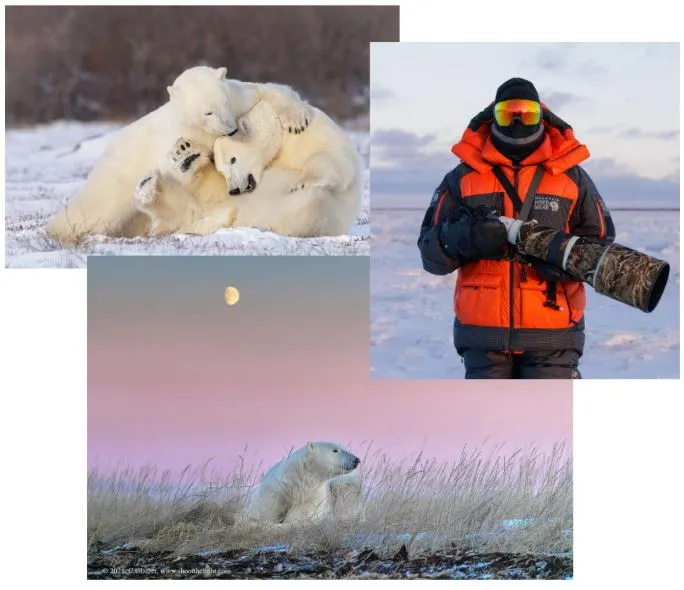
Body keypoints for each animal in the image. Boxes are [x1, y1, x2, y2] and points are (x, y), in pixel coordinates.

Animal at [45, 65, 313, 243]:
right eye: (207, 112)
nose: (231, 129)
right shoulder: (180, 132)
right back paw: (60, 230)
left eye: (224, 103)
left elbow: (267, 89)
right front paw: (186, 157)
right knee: (96, 207)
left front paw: (297, 120)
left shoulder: (240, 99)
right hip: (118, 174)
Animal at [131, 94, 363, 238]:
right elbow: (213, 184)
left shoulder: (313, 134)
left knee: (311, 204)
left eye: (233, 159)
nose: (233, 189)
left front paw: (302, 183)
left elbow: (330, 158)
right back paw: (173, 165)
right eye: (222, 169)